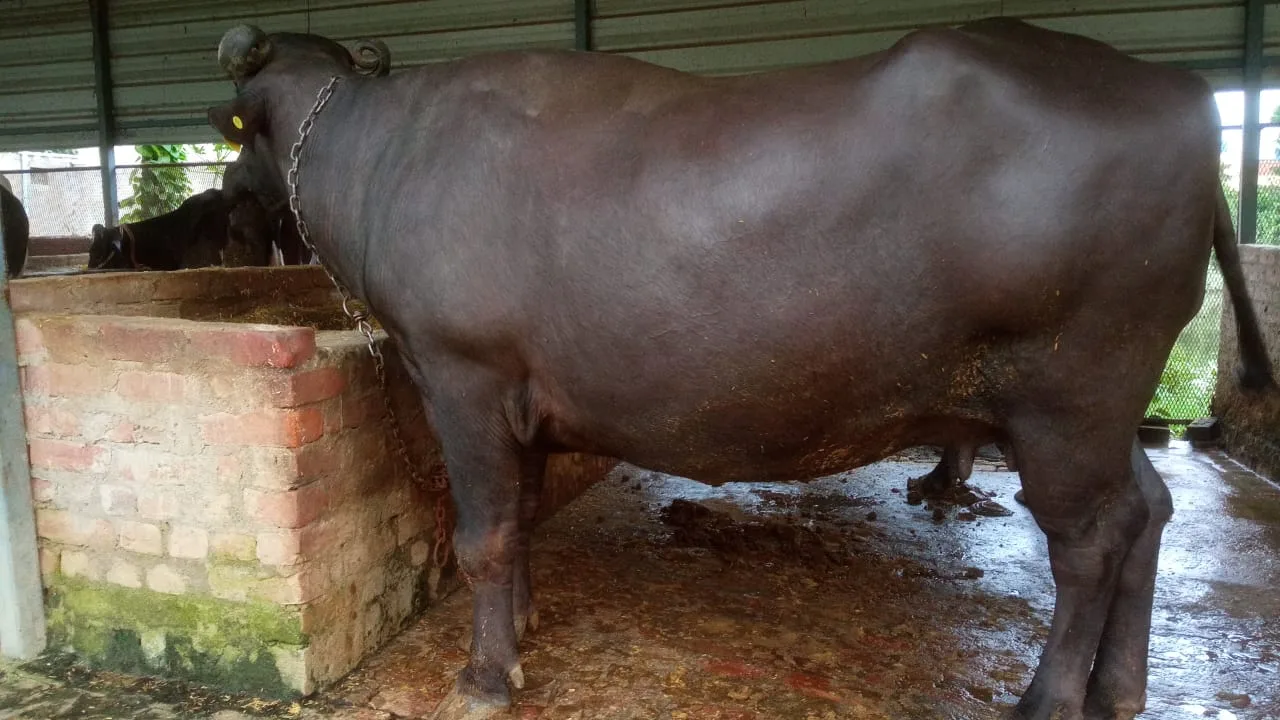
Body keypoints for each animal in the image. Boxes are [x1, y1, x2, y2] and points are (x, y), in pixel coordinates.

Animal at [206, 17, 1273, 720]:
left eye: (237, 131)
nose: (228, 199)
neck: (382, 154)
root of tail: (1180, 95)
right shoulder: (521, 399)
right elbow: (523, 518)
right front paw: (526, 625)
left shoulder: (460, 374)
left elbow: (484, 537)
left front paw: (482, 678)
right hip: (1096, 405)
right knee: (1147, 509)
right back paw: (1119, 688)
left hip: (1068, 394)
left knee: (1091, 540)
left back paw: (1050, 700)